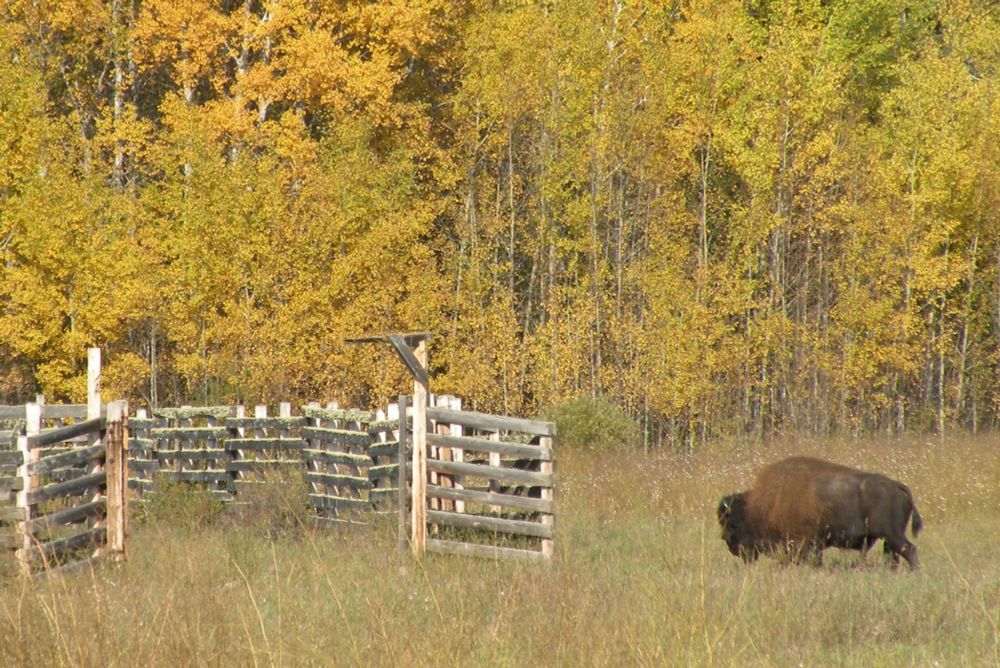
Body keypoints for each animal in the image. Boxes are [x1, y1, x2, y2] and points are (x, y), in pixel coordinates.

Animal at [720, 460, 920, 568]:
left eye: (732, 523)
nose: (727, 542)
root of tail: (897, 485)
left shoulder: (804, 543)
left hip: (892, 535)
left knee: (910, 550)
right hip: (889, 540)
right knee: (894, 557)